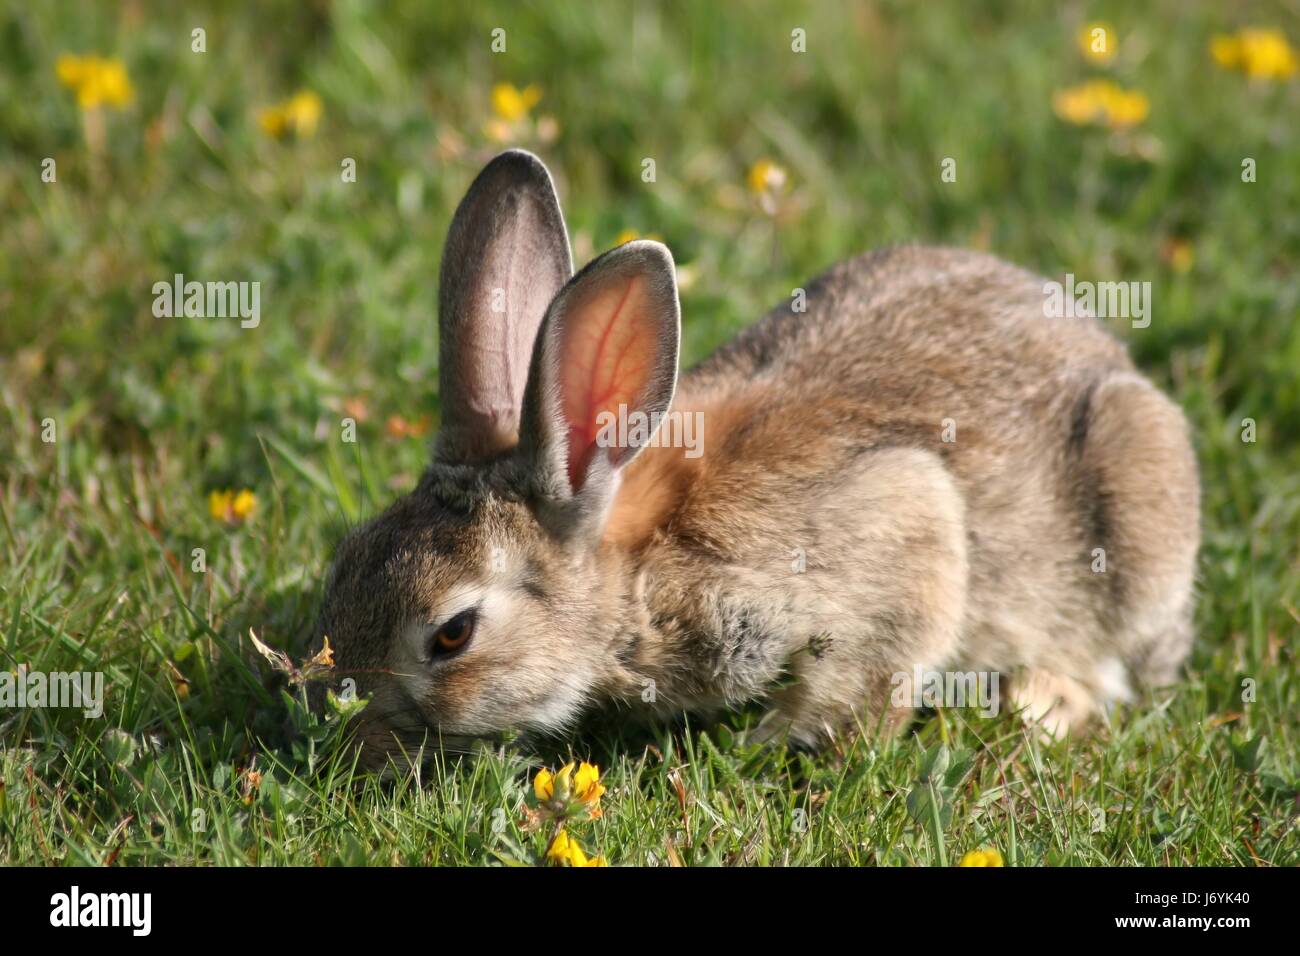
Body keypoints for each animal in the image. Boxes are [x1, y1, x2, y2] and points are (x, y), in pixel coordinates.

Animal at [314, 149, 1199, 768]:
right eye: (344, 559)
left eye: (453, 635)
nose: (350, 742)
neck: (640, 566)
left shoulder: (902, 521)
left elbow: (874, 673)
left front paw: (778, 742)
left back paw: (1041, 703)